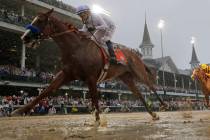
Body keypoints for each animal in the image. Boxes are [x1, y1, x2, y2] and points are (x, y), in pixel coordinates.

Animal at [11, 9, 167, 122]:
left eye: (40, 20)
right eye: (33, 19)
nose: (25, 37)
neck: (75, 48)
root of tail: (136, 55)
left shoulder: (91, 77)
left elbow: (95, 100)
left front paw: (98, 121)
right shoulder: (67, 74)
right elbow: (45, 91)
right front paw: (19, 110)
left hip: (138, 72)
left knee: (151, 87)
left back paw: (164, 104)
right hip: (126, 78)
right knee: (139, 94)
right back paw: (153, 114)